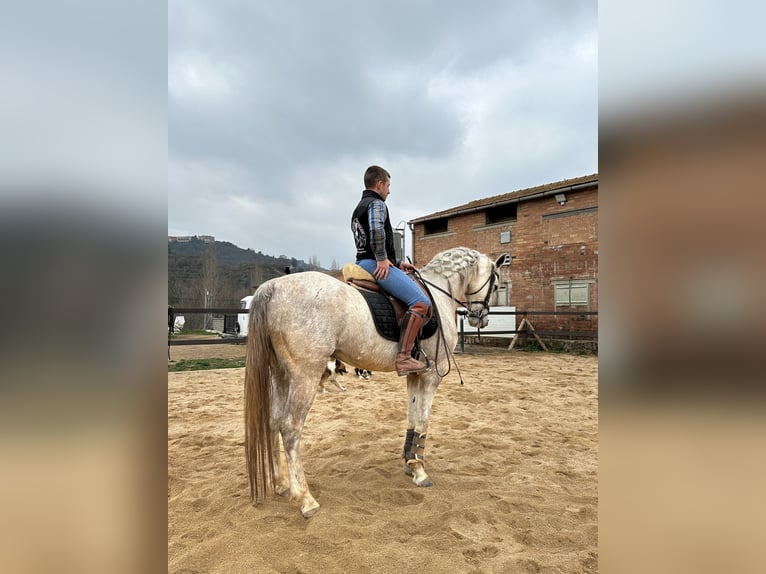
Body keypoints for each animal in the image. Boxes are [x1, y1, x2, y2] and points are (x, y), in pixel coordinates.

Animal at [246, 249, 508, 520]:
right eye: (496, 284)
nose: (480, 318)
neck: (439, 292)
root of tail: (274, 286)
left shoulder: (415, 375)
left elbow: (412, 418)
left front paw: (410, 463)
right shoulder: (430, 376)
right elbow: (423, 421)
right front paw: (420, 471)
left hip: (280, 374)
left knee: (273, 421)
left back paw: (281, 483)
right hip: (304, 376)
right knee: (290, 429)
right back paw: (305, 499)